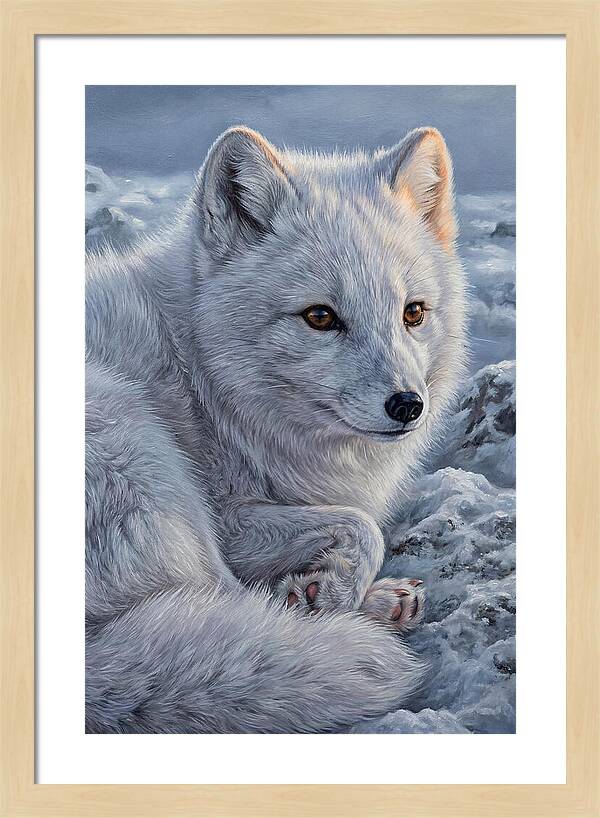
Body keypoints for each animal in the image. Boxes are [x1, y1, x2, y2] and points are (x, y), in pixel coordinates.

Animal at [85, 124, 467, 733]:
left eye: (413, 313)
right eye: (320, 317)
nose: (408, 406)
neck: (200, 375)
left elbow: (356, 525)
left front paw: (327, 588)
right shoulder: (228, 517)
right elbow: (364, 526)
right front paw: (329, 593)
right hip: (138, 448)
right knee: (224, 601)